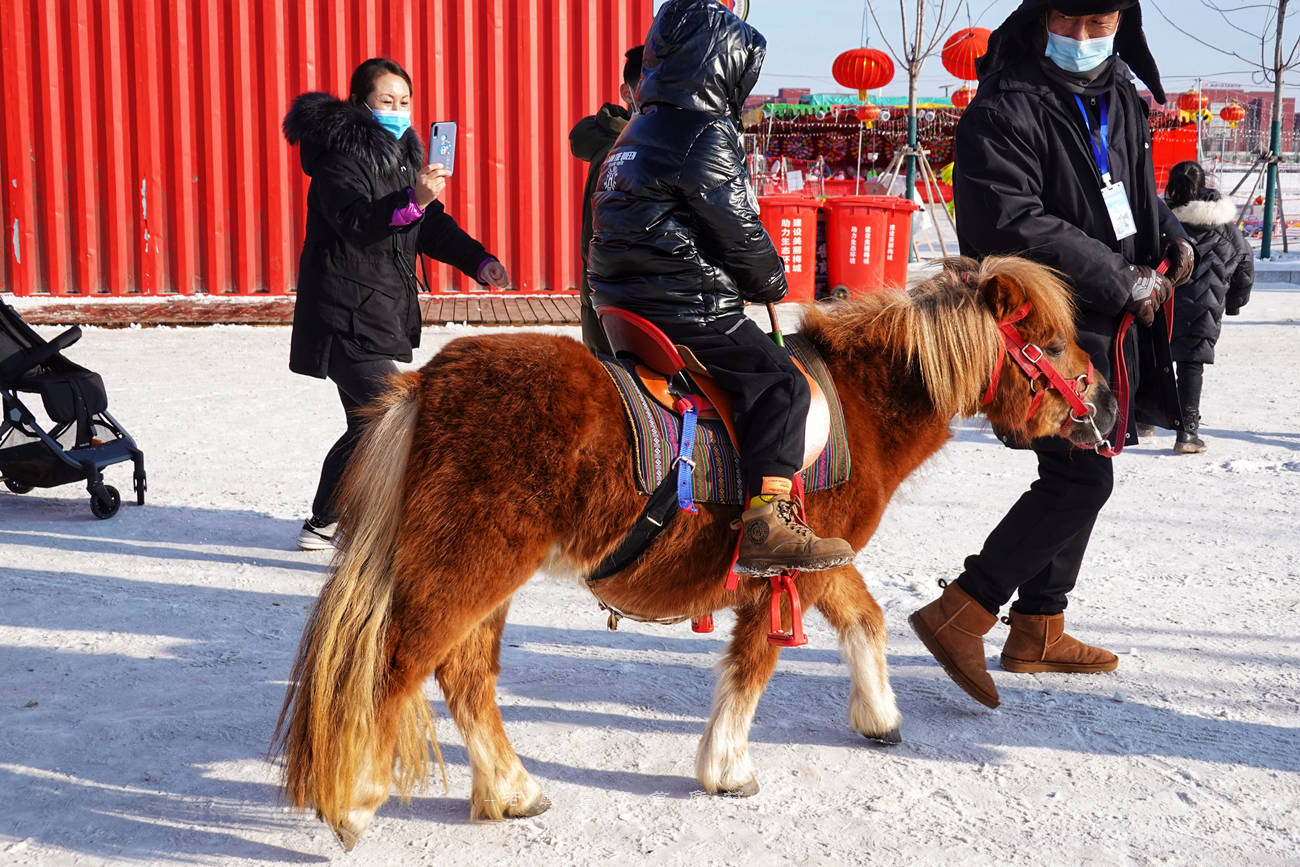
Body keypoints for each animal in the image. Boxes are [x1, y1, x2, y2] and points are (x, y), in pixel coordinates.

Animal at [271, 254, 1118, 852]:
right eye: (1048, 343)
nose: (1108, 402)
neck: (860, 406)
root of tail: (429, 383)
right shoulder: (782, 569)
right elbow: (754, 666)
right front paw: (728, 767)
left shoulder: (823, 557)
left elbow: (865, 620)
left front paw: (878, 715)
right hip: (469, 567)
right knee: (396, 668)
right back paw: (354, 800)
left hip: (485, 577)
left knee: (464, 675)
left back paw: (510, 790)